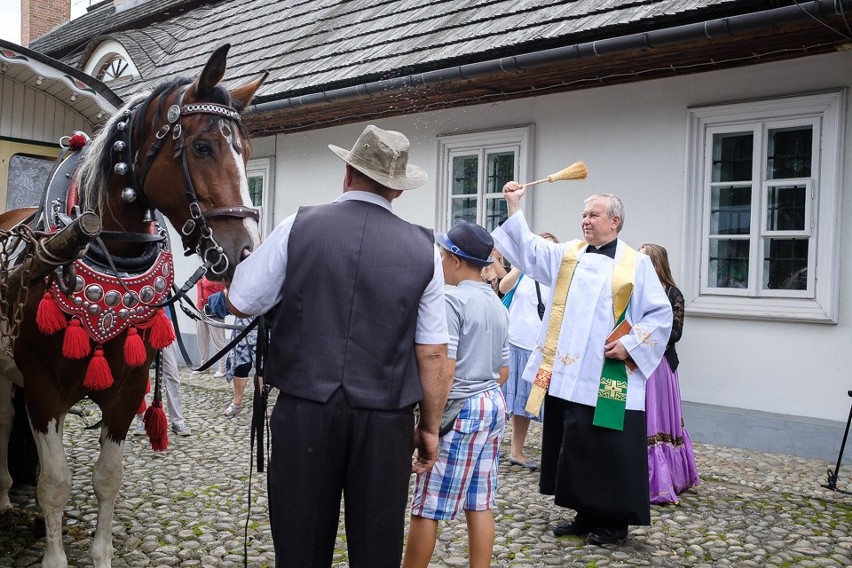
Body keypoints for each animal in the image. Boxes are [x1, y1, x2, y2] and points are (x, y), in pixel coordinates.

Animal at [0, 45, 266, 568]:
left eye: (245, 152)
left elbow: (107, 479)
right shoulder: (42, 388)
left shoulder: (127, 387)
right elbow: (54, 482)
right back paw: (2, 495)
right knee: (3, 423)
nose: (247, 254)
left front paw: (99, 554)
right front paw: (55, 554)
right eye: (203, 147)